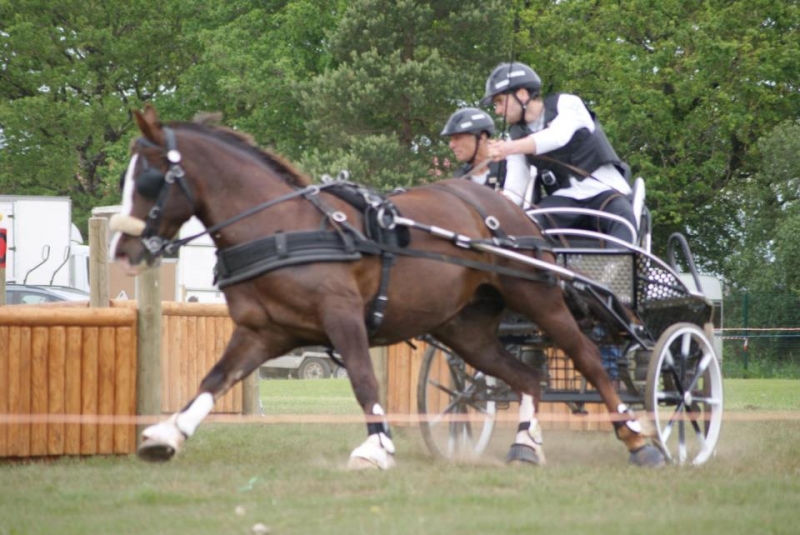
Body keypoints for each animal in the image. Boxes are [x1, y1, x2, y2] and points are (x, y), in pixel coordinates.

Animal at [112, 104, 664, 468]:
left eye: (148, 180)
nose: (122, 250)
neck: (282, 228)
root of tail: (513, 212)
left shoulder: (342, 318)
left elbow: (362, 379)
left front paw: (377, 446)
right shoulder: (261, 333)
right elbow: (214, 379)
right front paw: (168, 434)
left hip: (540, 299)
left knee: (589, 359)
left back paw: (638, 438)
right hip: (467, 331)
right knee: (526, 377)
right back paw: (524, 445)